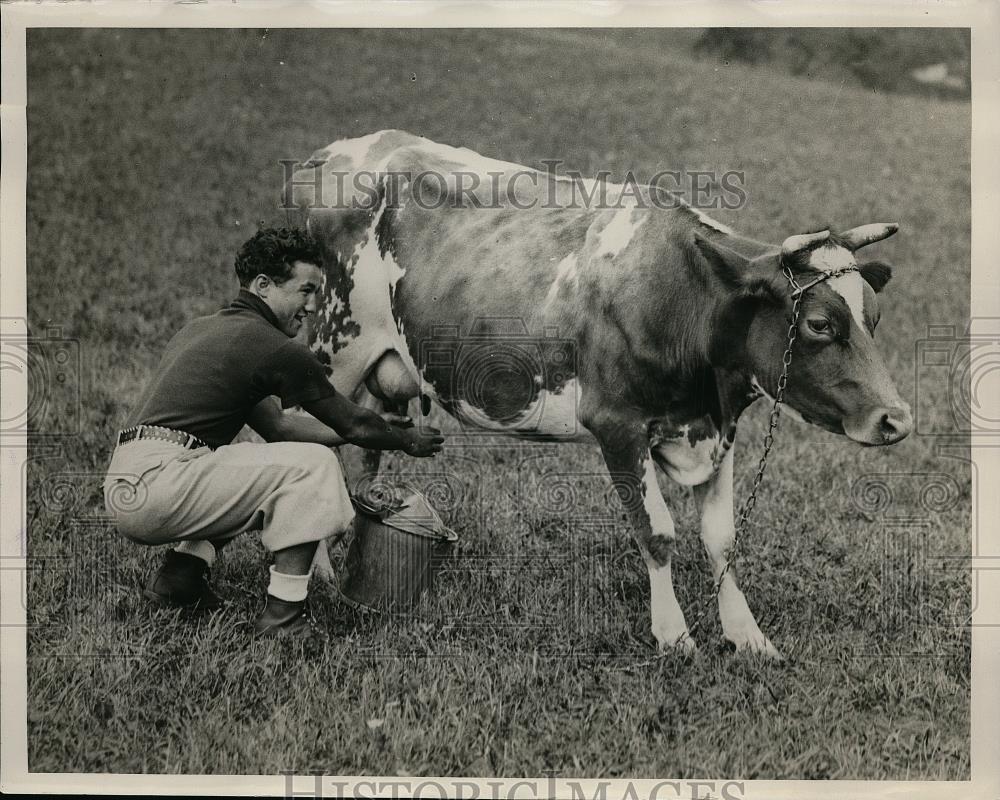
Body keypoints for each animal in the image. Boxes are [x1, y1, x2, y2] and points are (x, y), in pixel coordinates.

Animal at [283, 130, 912, 657]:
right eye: (821, 324)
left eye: (875, 318)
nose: (897, 420)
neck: (681, 298)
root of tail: (335, 151)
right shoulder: (617, 424)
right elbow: (657, 533)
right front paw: (675, 636)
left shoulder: (719, 431)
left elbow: (722, 539)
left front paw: (748, 637)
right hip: (330, 352)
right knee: (312, 444)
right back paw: (318, 574)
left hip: (384, 371)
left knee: (363, 454)